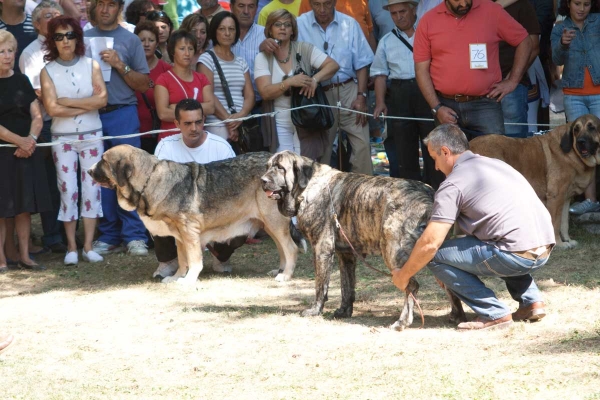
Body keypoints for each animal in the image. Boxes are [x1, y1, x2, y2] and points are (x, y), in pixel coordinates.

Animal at [88, 146, 298, 284]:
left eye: (103, 160)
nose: (88, 170)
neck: (150, 180)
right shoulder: (179, 235)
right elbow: (182, 260)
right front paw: (176, 277)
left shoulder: (189, 232)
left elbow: (194, 260)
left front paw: (188, 280)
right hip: (269, 225)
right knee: (282, 249)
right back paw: (280, 271)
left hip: (274, 223)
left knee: (291, 249)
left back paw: (286, 275)